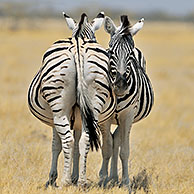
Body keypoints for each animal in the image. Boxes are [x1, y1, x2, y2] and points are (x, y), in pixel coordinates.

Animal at [27, 11, 116, 186]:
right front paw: (75, 176)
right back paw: (81, 182)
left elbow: (56, 146)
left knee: (67, 140)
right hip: (95, 99)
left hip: (59, 107)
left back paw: (65, 181)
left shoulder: (58, 119)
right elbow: (77, 147)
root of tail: (77, 45)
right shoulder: (80, 118)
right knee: (85, 139)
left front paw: (52, 178)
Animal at [98, 15, 155, 188]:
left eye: (130, 54)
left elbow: (124, 150)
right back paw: (110, 177)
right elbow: (106, 148)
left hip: (126, 118)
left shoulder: (127, 115)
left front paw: (125, 183)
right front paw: (102, 180)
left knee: (117, 140)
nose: (121, 85)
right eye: (111, 51)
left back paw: (114, 177)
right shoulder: (105, 118)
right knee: (113, 141)